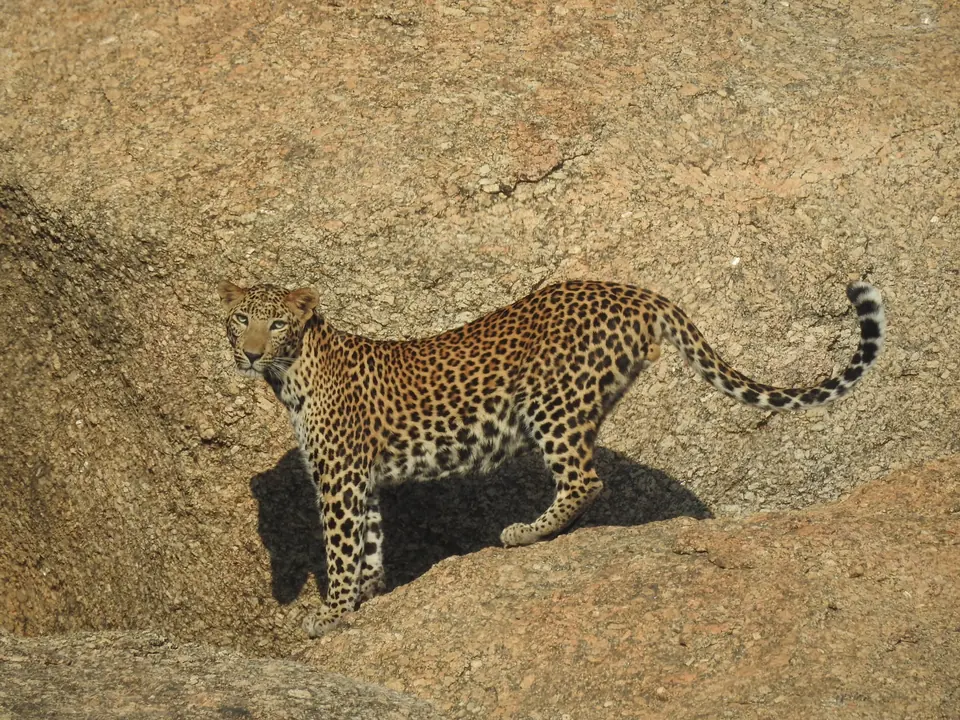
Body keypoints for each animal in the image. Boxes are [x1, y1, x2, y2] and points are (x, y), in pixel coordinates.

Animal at [217, 278, 885, 637]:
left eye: (277, 323)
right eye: (239, 318)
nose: (249, 353)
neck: (292, 372)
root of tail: (632, 291)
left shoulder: (338, 480)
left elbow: (340, 550)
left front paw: (330, 613)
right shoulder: (362, 482)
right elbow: (372, 545)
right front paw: (369, 599)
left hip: (554, 402)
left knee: (585, 480)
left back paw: (526, 532)